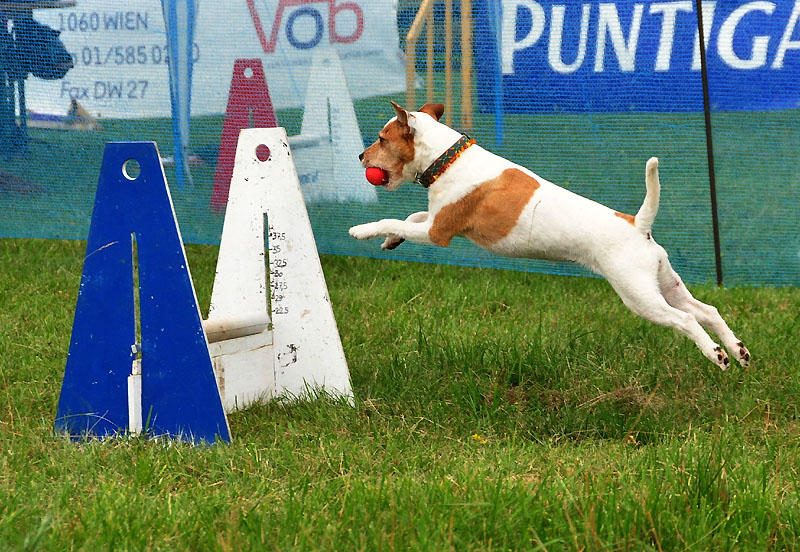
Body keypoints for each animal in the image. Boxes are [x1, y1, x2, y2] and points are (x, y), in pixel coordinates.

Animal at [350, 103, 752, 370]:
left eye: (382, 139)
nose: (360, 156)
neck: (448, 158)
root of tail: (638, 225)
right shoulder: (436, 221)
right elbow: (410, 217)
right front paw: (391, 242)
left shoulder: (438, 232)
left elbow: (395, 218)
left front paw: (362, 230)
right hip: (665, 284)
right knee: (707, 311)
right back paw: (737, 350)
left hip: (640, 297)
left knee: (686, 321)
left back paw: (717, 355)